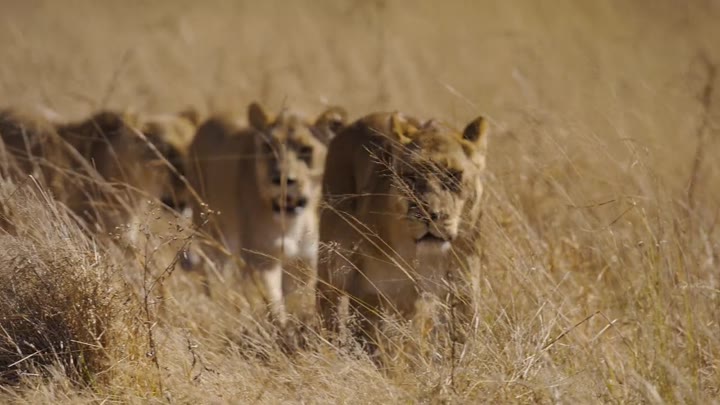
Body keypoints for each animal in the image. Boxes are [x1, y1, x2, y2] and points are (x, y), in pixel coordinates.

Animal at [187, 102, 346, 326]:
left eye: (305, 150)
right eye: (269, 148)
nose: (282, 180)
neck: (293, 223)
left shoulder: (304, 260)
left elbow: (297, 298)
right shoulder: (261, 258)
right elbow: (272, 300)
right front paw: (281, 327)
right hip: (211, 232)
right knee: (214, 272)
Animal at [316, 112, 489, 344]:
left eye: (453, 176)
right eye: (411, 177)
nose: (428, 215)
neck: (430, 257)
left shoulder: (464, 288)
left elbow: (463, 334)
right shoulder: (382, 290)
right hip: (334, 266)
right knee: (330, 310)